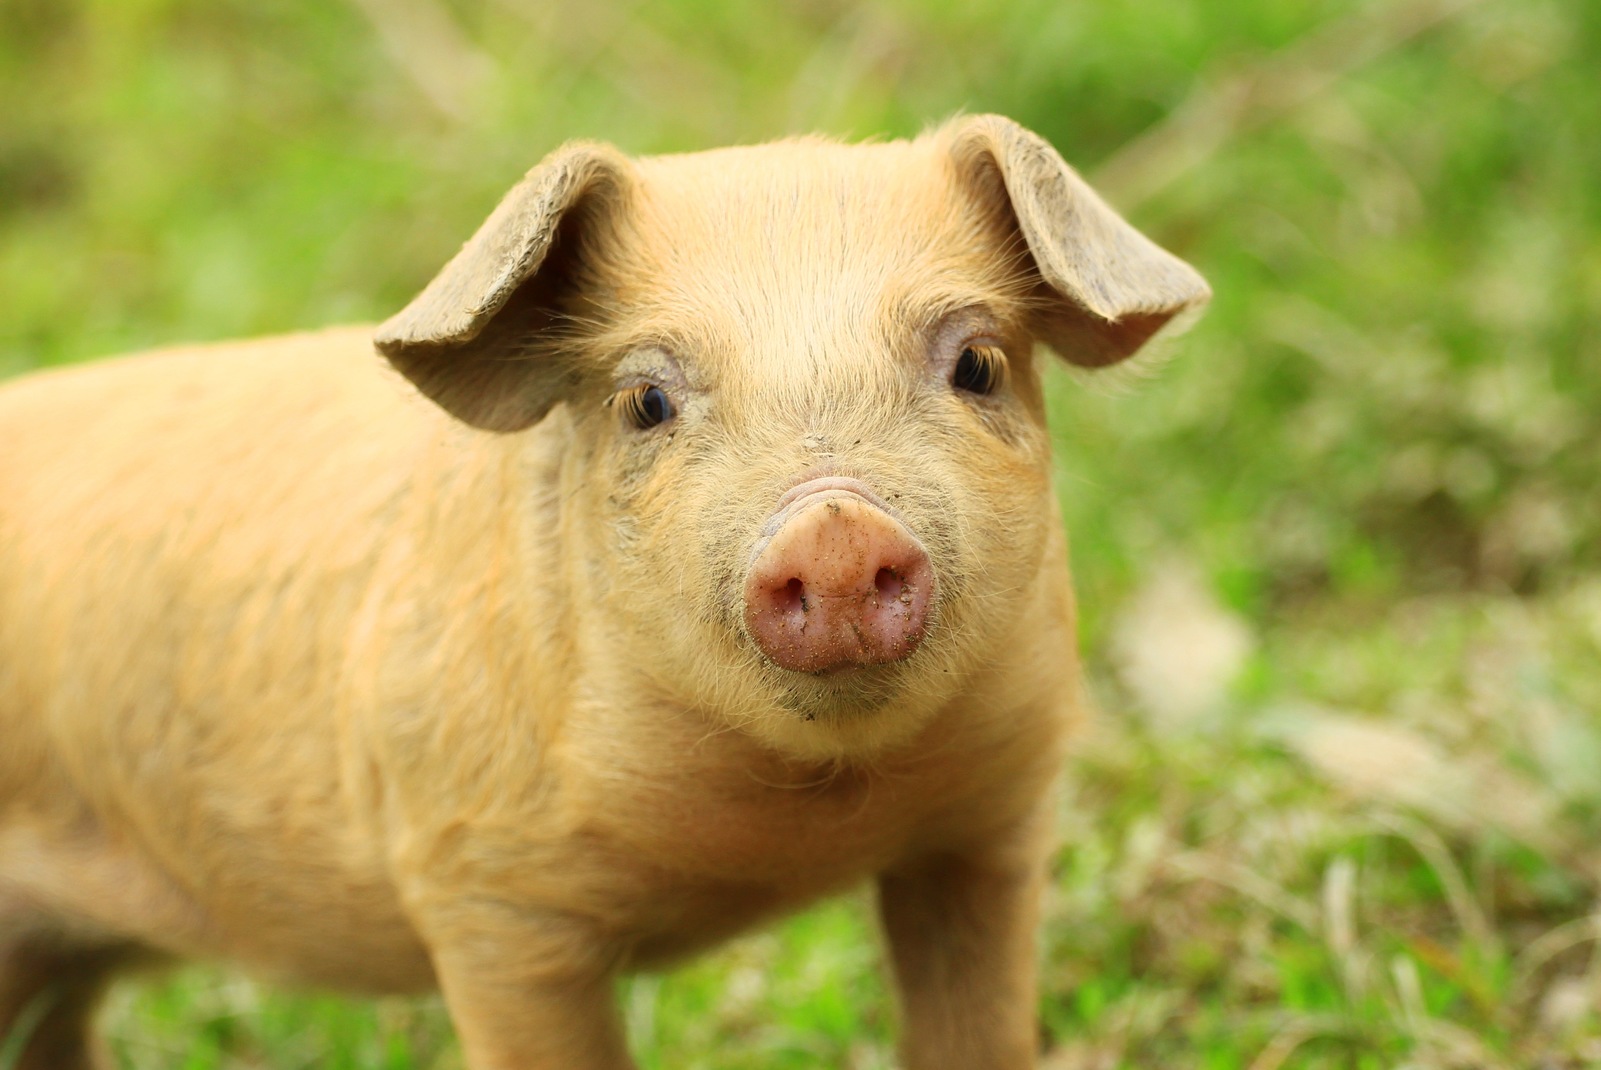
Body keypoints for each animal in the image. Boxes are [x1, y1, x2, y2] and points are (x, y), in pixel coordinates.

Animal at [0, 114, 1208, 1070]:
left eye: (976, 366)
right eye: (644, 401)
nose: (832, 523)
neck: (798, 824)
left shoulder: (992, 815)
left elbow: (978, 1022)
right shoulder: (483, 891)